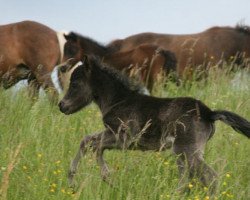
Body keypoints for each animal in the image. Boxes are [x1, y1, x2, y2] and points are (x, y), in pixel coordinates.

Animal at [59, 55, 250, 193]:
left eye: (74, 84)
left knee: (210, 177)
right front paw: (72, 180)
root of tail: (208, 113)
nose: (62, 106)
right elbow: (87, 141)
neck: (118, 100)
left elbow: (96, 146)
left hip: (187, 151)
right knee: (189, 179)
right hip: (183, 153)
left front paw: (108, 178)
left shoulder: (124, 139)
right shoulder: (111, 132)